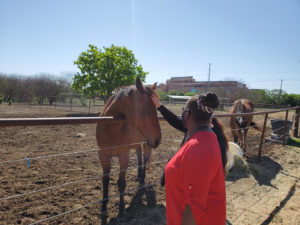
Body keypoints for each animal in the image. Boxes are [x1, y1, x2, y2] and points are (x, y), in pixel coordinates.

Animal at [96, 77, 162, 218]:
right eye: (146, 108)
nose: (158, 139)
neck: (111, 128)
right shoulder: (103, 155)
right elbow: (105, 180)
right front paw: (103, 207)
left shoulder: (123, 155)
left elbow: (121, 182)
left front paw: (121, 208)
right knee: (139, 156)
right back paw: (138, 175)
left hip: (147, 143)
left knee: (145, 158)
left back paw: (142, 178)